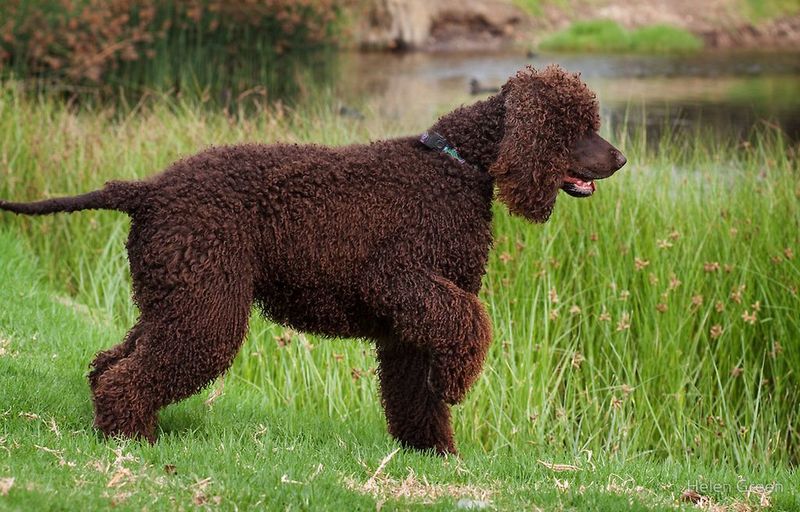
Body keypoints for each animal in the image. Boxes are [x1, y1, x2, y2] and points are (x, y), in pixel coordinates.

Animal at [1, 66, 624, 454]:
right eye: (573, 127)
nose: (620, 159)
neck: (456, 166)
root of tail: (149, 189)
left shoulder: (408, 323)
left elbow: (413, 395)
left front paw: (435, 454)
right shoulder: (402, 280)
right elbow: (472, 324)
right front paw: (456, 382)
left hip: (176, 297)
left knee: (110, 363)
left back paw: (123, 431)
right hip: (207, 305)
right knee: (127, 374)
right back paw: (134, 441)